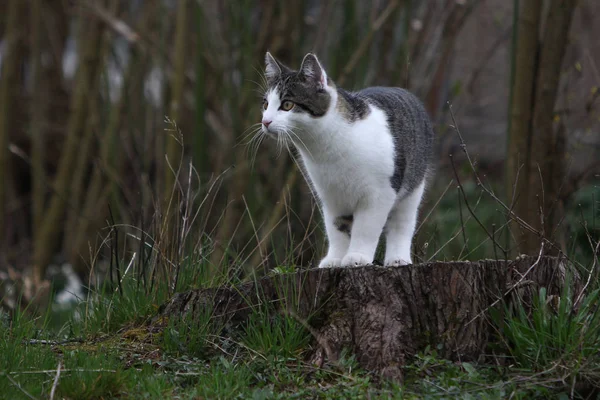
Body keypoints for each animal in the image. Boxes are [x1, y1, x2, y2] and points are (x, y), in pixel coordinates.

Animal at [260, 51, 434, 268]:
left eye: (287, 105)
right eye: (266, 104)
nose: (265, 121)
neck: (327, 148)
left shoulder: (379, 194)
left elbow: (366, 228)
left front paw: (357, 257)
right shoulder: (330, 196)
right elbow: (336, 228)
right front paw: (335, 259)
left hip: (413, 187)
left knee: (402, 224)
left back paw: (397, 259)